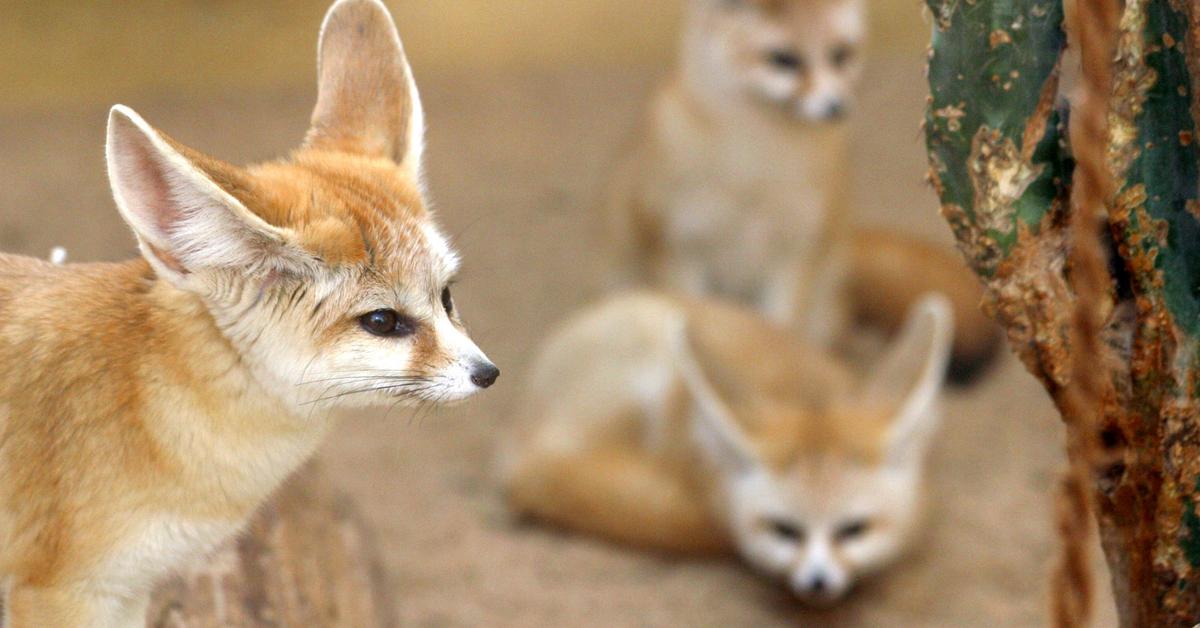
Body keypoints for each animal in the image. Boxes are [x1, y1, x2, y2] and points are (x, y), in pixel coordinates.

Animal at [0, 2, 496, 624]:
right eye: (383, 322)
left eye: (446, 296)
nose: (487, 373)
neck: (142, 396)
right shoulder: (62, 591)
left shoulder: (128, 589)